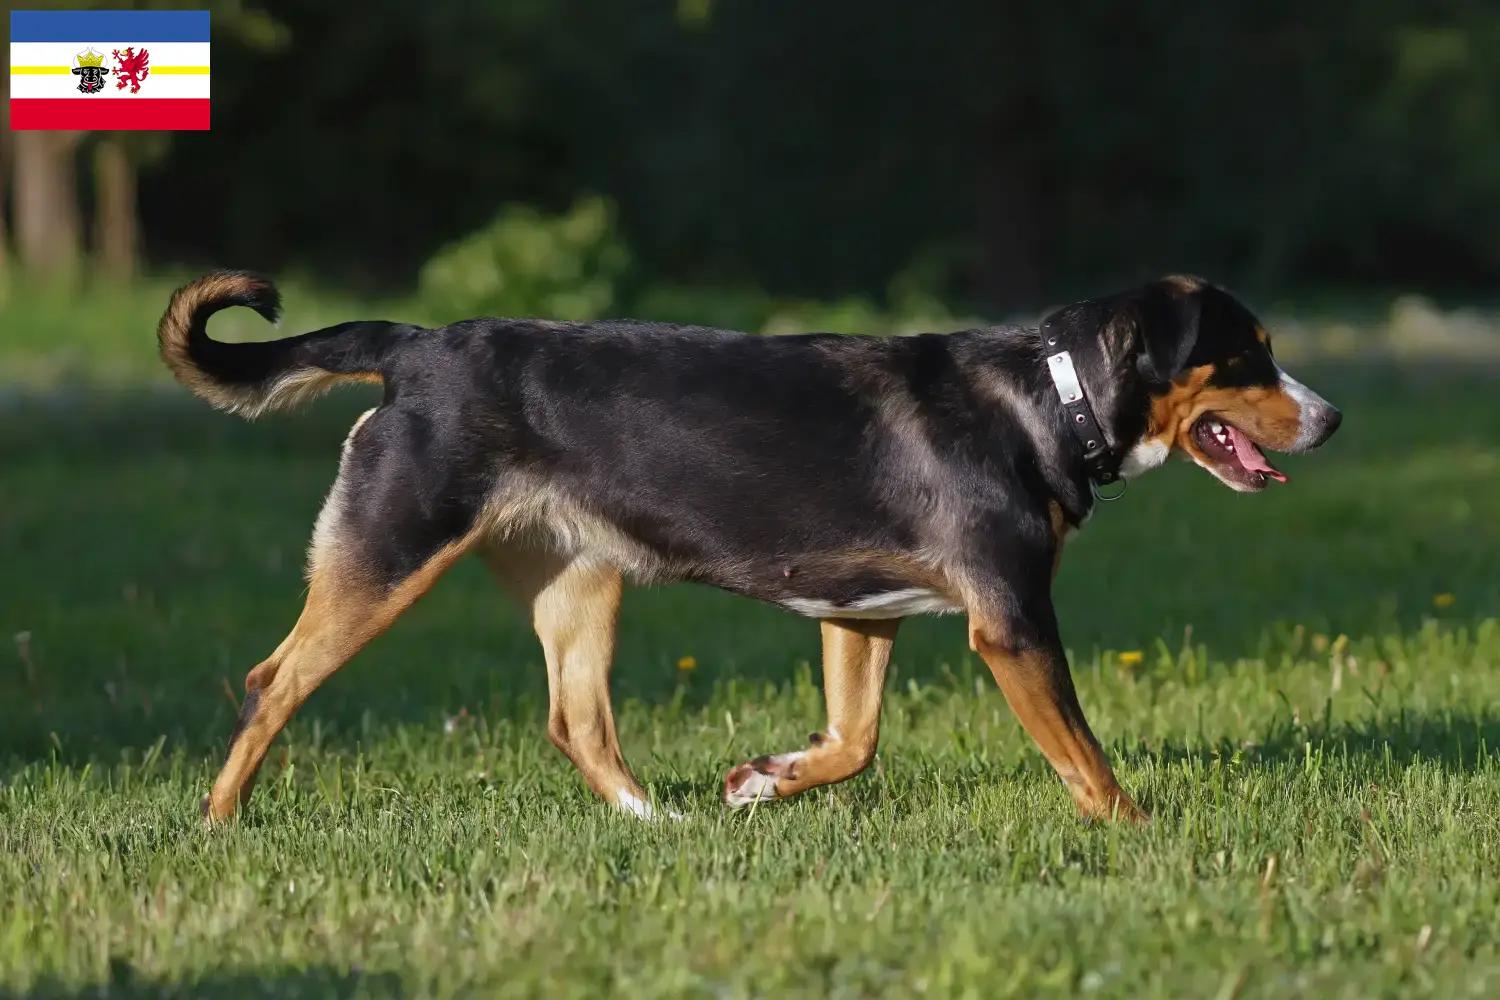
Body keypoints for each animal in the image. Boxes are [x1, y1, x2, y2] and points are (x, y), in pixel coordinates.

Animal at [158, 269, 1344, 827]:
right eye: (1249, 356)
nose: (1332, 419)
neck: (1049, 401)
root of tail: (415, 347)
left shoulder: (859, 616)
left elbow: (853, 742)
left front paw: (762, 782)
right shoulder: (1011, 623)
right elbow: (1084, 758)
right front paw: (1136, 831)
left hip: (581, 578)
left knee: (577, 720)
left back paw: (662, 823)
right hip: (390, 551)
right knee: (272, 682)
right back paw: (217, 823)